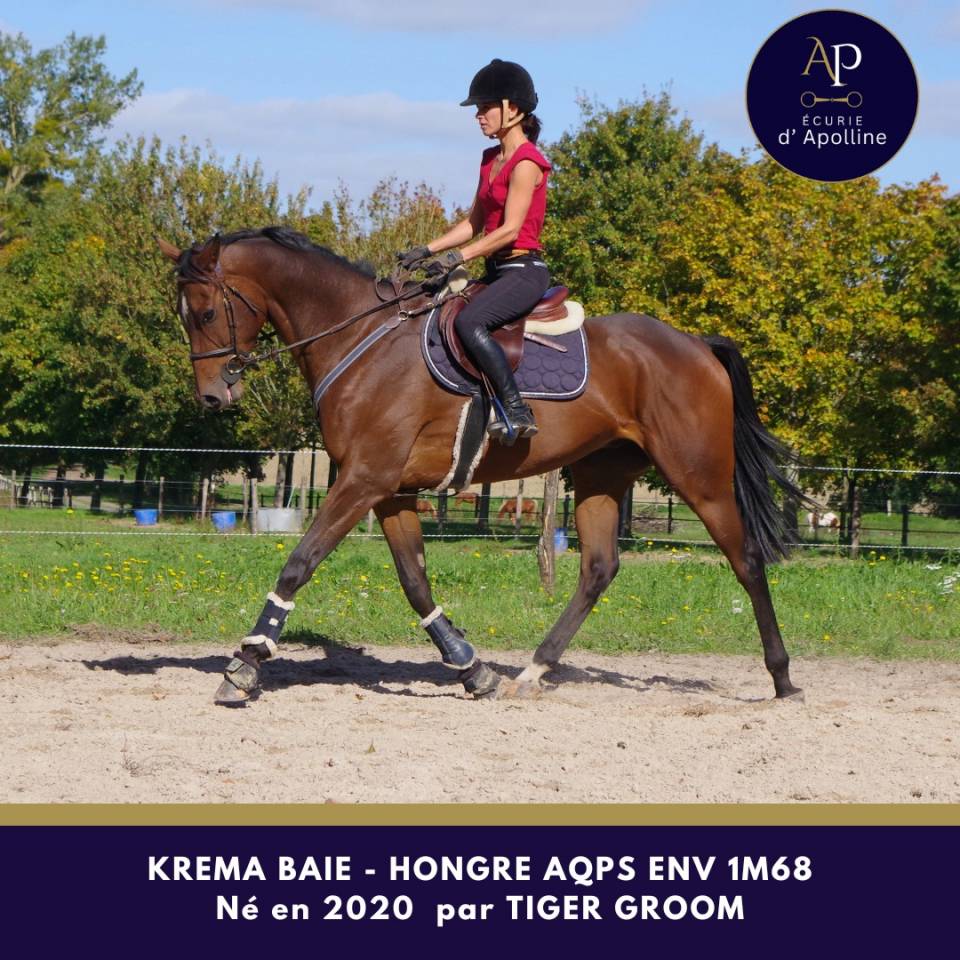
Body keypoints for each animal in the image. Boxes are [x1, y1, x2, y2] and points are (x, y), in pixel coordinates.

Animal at [158, 226, 806, 705]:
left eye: (207, 312)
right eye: (184, 316)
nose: (212, 396)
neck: (362, 340)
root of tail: (695, 343)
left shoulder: (363, 480)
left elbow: (299, 564)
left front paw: (245, 664)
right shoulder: (389, 490)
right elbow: (415, 582)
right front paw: (472, 669)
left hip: (699, 475)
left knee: (747, 559)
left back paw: (782, 678)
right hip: (602, 473)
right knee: (598, 568)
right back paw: (533, 670)